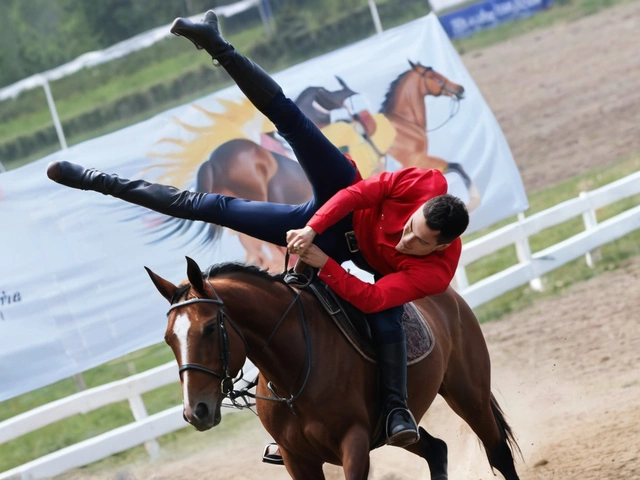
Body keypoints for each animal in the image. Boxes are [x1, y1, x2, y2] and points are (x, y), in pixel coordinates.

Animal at [145, 258, 520, 480]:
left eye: (210, 328)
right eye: (167, 338)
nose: (196, 411)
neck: (294, 373)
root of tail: (447, 294)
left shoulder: (354, 444)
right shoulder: (297, 459)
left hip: (468, 395)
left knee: (498, 453)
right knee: (436, 449)